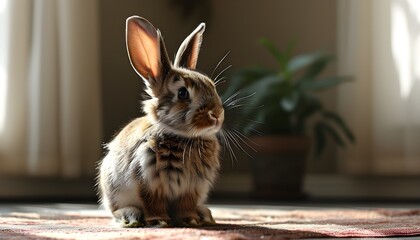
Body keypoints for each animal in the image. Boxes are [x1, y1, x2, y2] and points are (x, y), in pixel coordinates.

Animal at [97, 15, 225, 228]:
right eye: (182, 93)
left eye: (212, 86)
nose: (216, 114)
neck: (184, 137)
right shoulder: (148, 179)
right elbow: (152, 203)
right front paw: (159, 222)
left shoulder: (192, 188)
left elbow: (186, 205)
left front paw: (190, 220)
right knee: (116, 211)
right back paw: (130, 217)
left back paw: (204, 215)